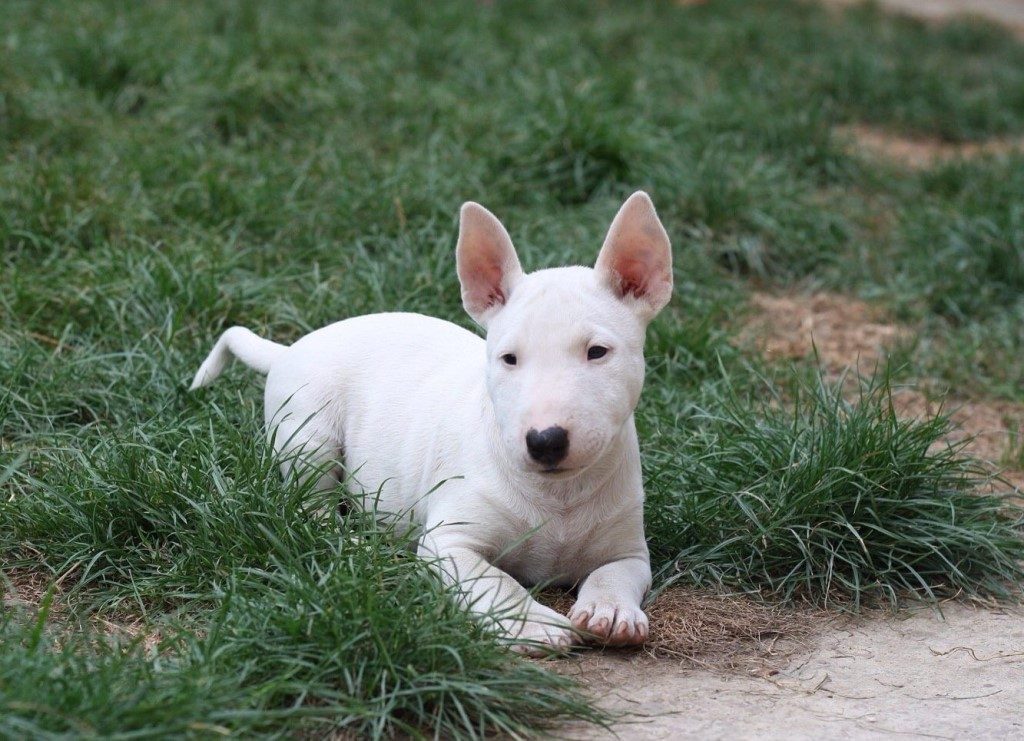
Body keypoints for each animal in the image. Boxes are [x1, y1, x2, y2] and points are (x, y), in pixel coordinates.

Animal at [191, 191, 671, 655]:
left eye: (597, 352)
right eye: (509, 358)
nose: (545, 441)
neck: (558, 494)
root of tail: (288, 349)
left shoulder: (629, 549)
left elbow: (614, 574)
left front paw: (610, 612)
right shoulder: (449, 542)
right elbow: (496, 581)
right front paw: (531, 624)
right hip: (309, 437)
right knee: (313, 511)